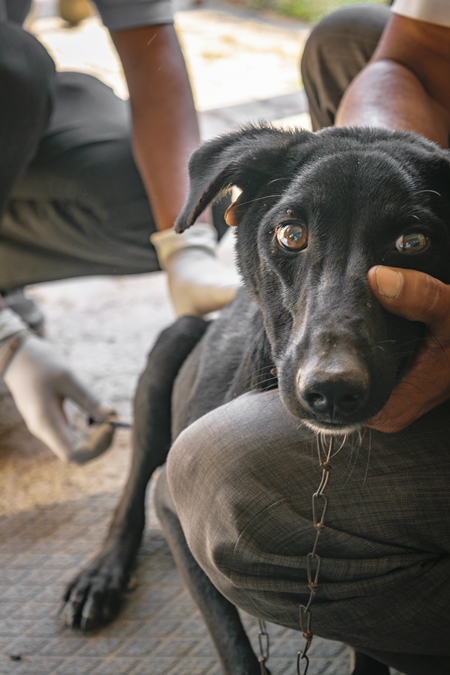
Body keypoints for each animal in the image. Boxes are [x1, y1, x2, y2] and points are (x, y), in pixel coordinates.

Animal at [60, 124, 450, 672]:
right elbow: (233, 646)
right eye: (291, 234)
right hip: (170, 348)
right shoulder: (175, 512)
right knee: (132, 486)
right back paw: (100, 575)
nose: (332, 390)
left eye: (413, 242)